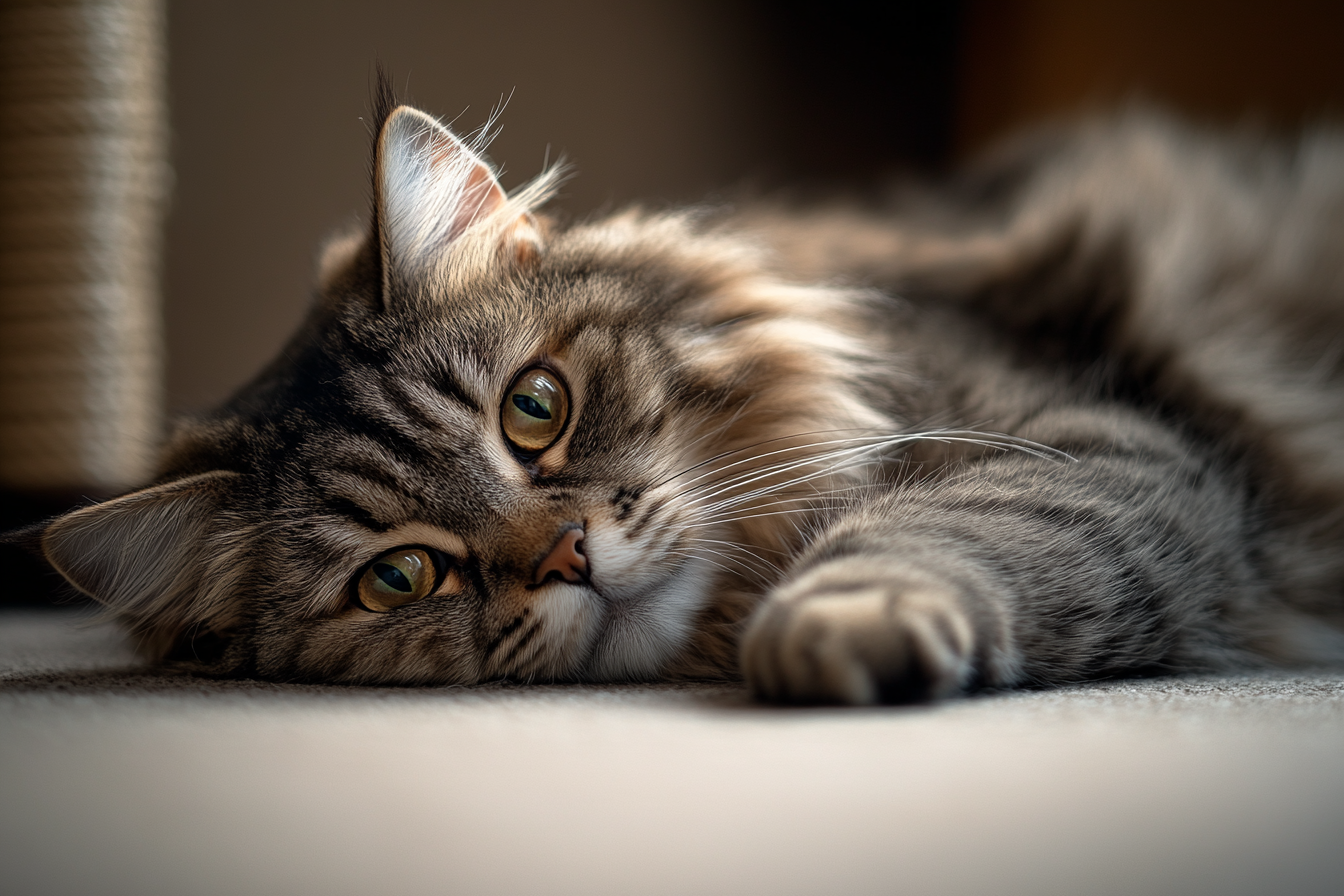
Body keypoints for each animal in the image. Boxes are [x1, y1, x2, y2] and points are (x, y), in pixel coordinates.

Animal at [28, 92, 1344, 709]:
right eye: (398, 576)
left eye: (535, 409)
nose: (566, 554)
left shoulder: (1095, 437)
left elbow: (924, 529)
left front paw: (834, 628)